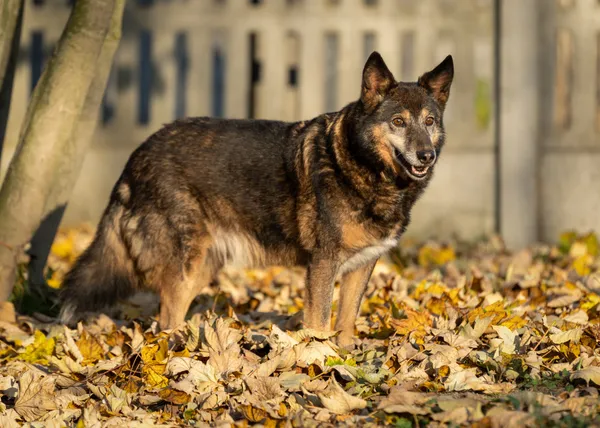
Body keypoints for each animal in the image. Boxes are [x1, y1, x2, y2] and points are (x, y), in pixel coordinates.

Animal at [62, 51, 454, 348]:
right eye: (398, 121)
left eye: (429, 121)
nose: (426, 155)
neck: (361, 164)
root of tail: (137, 155)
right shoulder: (322, 266)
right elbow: (319, 326)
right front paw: (321, 363)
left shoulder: (361, 266)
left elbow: (344, 325)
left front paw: (346, 366)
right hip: (187, 262)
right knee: (166, 318)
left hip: (203, 266)